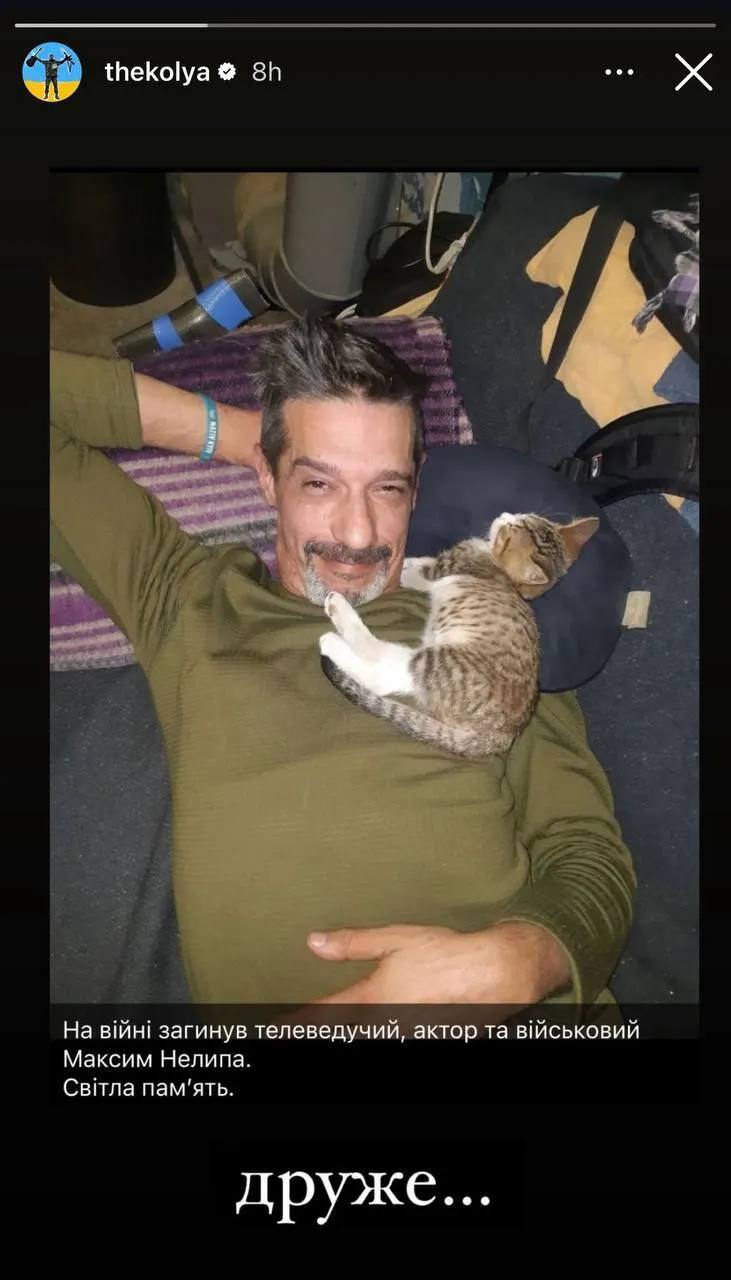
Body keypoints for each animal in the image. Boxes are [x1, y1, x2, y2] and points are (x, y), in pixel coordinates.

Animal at [318, 511, 599, 760]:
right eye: (525, 517)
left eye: (511, 529)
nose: (505, 515)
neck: (504, 573)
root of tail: (505, 735)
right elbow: (421, 565)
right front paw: (409, 563)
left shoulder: (446, 567)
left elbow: (420, 570)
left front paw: (403, 567)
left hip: (442, 662)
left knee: (384, 670)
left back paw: (336, 627)